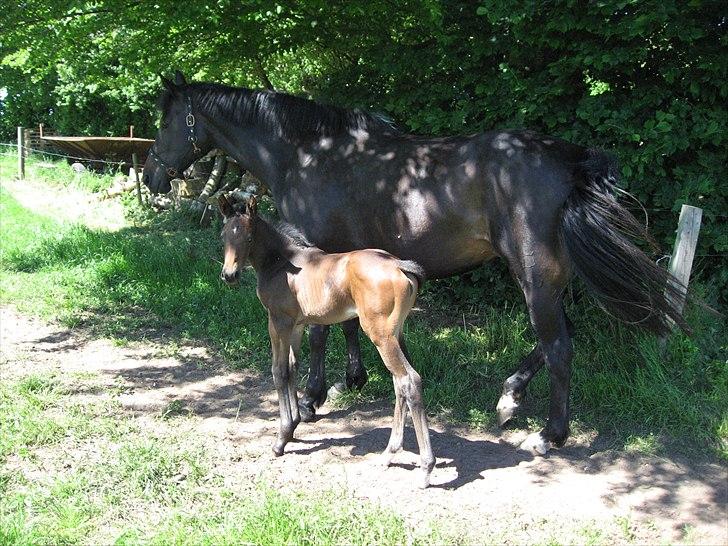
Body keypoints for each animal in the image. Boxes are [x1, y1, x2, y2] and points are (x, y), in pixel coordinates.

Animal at [144, 72, 688, 454]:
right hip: (544, 278)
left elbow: (319, 333)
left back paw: (549, 435)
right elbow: (347, 324)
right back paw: (509, 398)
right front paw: (351, 379)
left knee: (559, 346)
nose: (151, 176)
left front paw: (313, 398)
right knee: (558, 336)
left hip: (534, 275)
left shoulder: (316, 252)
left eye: (166, 120)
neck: (305, 155)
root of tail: (569, 160)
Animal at [216, 194, 432, 484]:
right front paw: (294, 424)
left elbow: (279, 371)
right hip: (397, 333)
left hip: (381, 335)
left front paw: (281, 439)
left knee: (409, 380)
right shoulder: (296, 325)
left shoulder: (278, 322)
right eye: (224, 235)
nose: (229, 275)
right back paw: (389, 454)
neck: (281, 263)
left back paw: (426, 467)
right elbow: (293, 368)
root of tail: (401, 265)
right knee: (401, 384)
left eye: (249, 238)